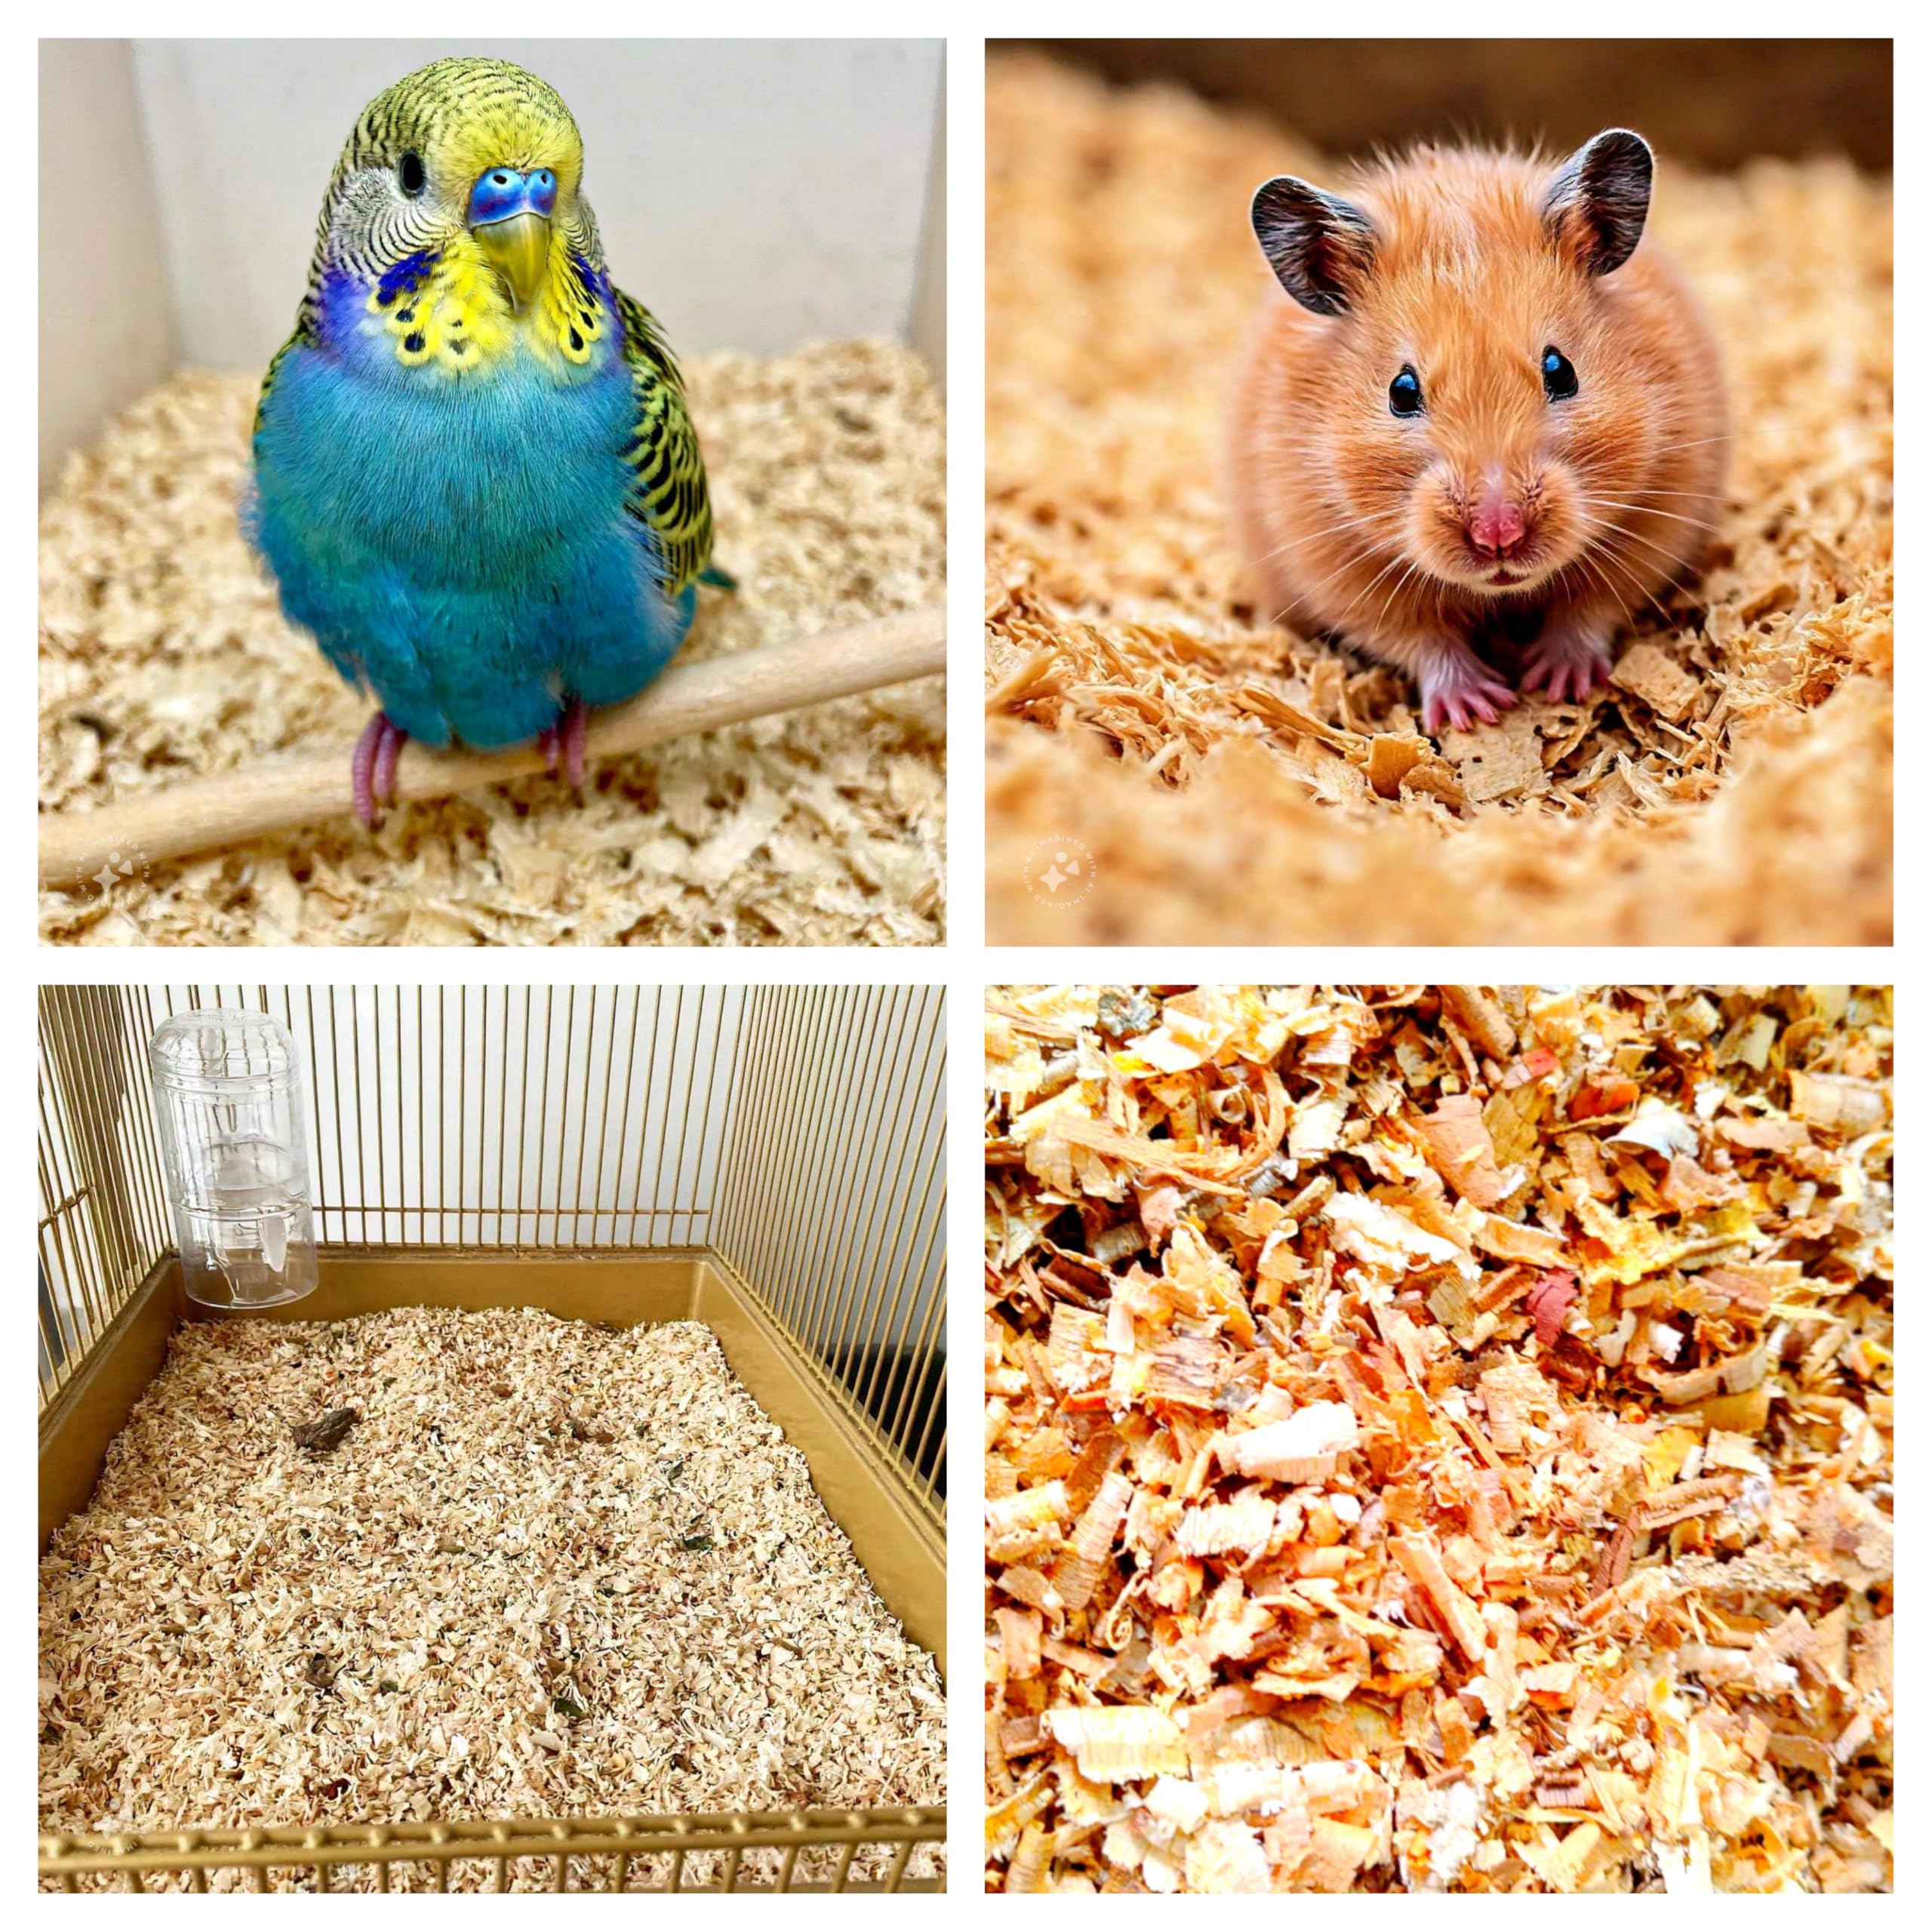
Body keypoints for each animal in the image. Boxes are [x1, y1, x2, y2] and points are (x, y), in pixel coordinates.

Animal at [1228, 130, 1726, 733]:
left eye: (1560, 371)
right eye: (1401, 392)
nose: (1499, 537)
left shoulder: (1656, 517)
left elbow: (1589, 608)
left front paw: (1557, 683)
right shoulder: (1335, 563)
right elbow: (1421, 640)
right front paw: (1479, 710)